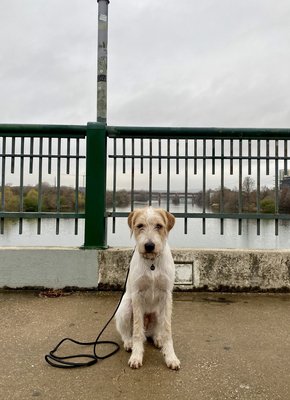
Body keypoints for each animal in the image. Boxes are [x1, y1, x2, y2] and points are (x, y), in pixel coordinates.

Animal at [115, 208, 179, 370]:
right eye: (140, 226)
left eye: (159, 226)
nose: (149, 245)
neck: (152, 264)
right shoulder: (137, 296)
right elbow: (137, 330)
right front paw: (136, 356)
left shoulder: (166, 296)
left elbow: (167, 330)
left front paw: (171, 357)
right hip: (125, 307)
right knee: (127, 332)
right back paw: (129, 342)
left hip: (157, 313)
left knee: (155, 332)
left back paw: (158, 339)